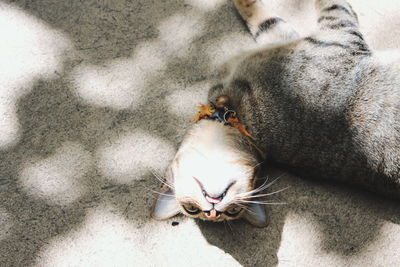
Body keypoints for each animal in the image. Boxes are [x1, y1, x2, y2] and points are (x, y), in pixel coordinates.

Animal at [151, 0, 400, 228]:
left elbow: (263, 19)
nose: (214, 211)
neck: (239, 117)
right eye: (192, 209)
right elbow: (270, 15)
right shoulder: (336, 32)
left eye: (231, 212)